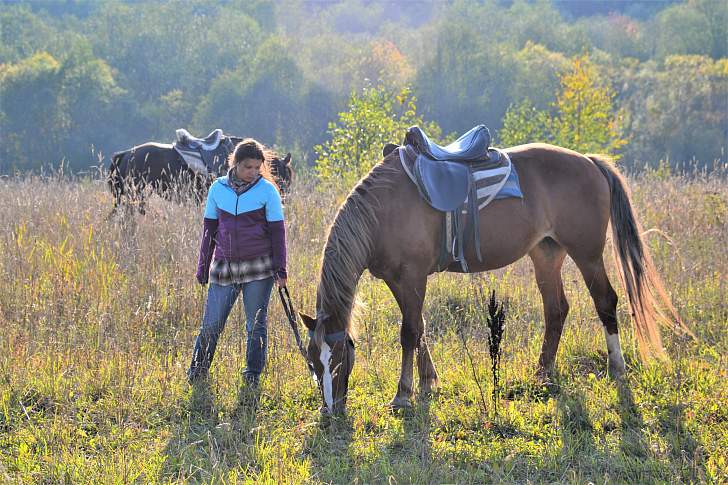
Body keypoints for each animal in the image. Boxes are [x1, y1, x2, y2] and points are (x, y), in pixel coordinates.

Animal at [298, 142, 692, 414]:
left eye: (337, 359)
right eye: (312, 360)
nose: (329, 411)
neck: (384, 210)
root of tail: (590, 161)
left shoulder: (412, 277)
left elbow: (409, 333)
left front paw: (403, 395)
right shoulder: (398, 281)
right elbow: (419, 328)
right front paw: (428, 382)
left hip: (588, 255)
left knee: (605, 301)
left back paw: (617, 368)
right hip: (546, 254)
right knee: (556, 310)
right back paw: (543, 373)